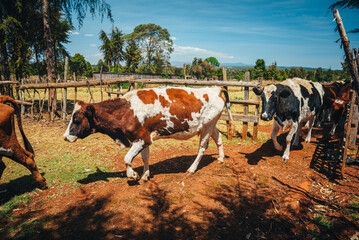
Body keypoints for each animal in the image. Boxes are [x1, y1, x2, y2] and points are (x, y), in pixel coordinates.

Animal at [64, 86, 236, 180]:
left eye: (77, 119)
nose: (65, 137)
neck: (126, 110)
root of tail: (214, 88)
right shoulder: (144, 138)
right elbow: (145, 157)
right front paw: (145, 175)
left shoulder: (141, 139)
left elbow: (127, 159)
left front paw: (133, 175)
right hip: (210, 125)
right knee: (219, 137)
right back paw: (220, 158)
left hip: (206, 127)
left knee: (202, 148)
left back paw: (191, 169)